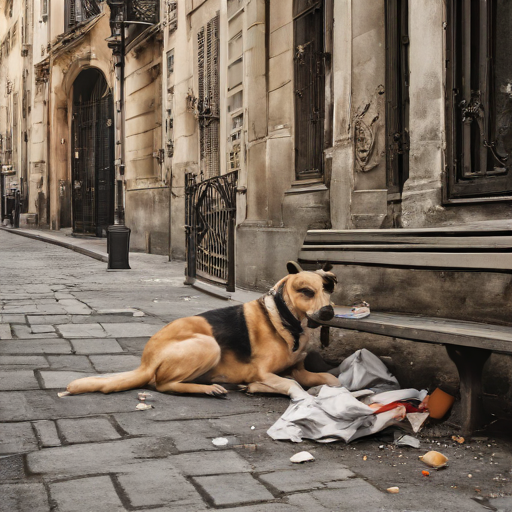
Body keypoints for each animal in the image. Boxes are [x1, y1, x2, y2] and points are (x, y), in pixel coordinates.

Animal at [66, 260, 342, 400]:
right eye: (306, 291)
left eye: (328, 288)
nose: (328, 312)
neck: (285, 320)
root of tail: (146, 361)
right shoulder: (263, 372)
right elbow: (292, 386)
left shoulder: (299, 369)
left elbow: (332, 380)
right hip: (209, 344)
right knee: (163, 385)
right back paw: (208, 389)